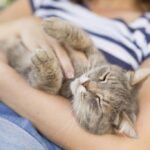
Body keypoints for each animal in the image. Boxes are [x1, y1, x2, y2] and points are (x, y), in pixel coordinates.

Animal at [1, 17, 150, 138]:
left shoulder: (44, 86)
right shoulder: (92, 51)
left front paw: (45, 63)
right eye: (104, 77)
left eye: (98, 101)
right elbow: (81, 37)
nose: (86, 84)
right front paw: (53, 25)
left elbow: (50, 84)